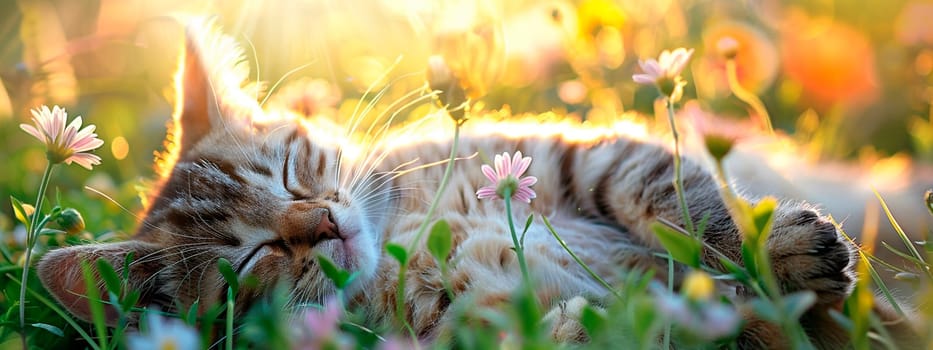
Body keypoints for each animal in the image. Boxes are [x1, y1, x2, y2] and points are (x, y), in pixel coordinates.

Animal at [34, 20, 912, 348]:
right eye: (251, 257)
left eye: (290, 170)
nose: (323, 225)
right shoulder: (469, 320)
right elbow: (599, 319)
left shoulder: (577, 155)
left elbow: (683, 207)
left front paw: (767, 256)